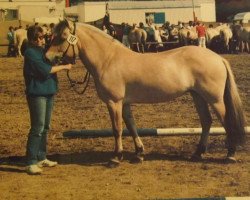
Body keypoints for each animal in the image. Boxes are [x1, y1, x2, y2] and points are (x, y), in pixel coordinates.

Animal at [46, 20, 245, 166]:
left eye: (63, 36)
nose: (47, 58)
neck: (108, 60)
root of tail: (217, 58)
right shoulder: (124, 103)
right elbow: (131, 126)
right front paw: (138, 154)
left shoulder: (114, 102)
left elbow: (117, 129)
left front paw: (116, 158)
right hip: (198, 96)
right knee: (206, 122)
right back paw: (197, 153)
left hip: (215, 99)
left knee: (226, 121)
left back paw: (230, 155)